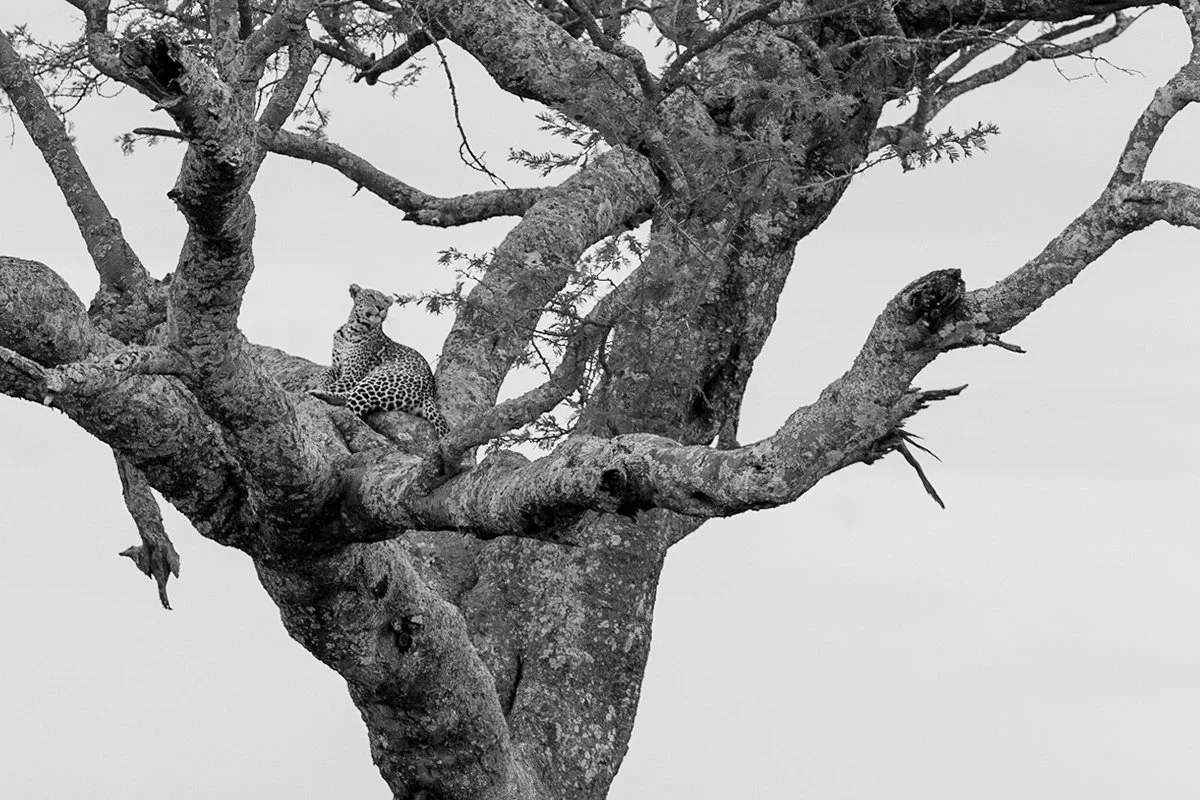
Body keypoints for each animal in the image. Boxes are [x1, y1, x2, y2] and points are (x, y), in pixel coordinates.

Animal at [309, 283, 449, 437]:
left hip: (375, 380)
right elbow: (325, 371)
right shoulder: (338, 367)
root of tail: (428, 395)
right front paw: (320, 382)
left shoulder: (352, 376)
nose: (381, 307)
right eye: (371, 296)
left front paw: (316, 388)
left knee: (349, 403)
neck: (352, 331)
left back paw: (316, 393)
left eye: (386, 302)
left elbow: (333, 386)